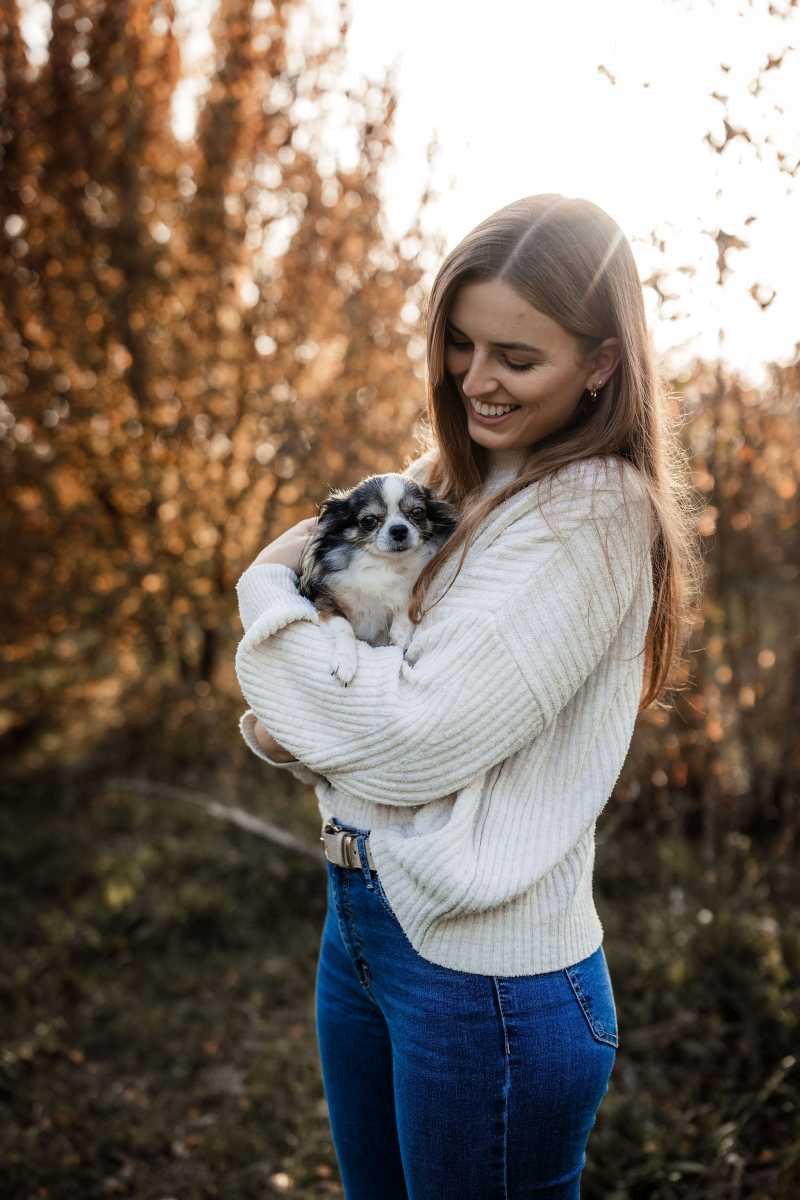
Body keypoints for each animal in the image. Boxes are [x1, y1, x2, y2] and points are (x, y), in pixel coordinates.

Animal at [297, 475, 460, 691]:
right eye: (369, 520)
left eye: (417, 512)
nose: (399, 529)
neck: (385, 565)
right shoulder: (325, 602)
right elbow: (344, 627)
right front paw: (345, 663)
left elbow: (406, 602)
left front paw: (400, 634)